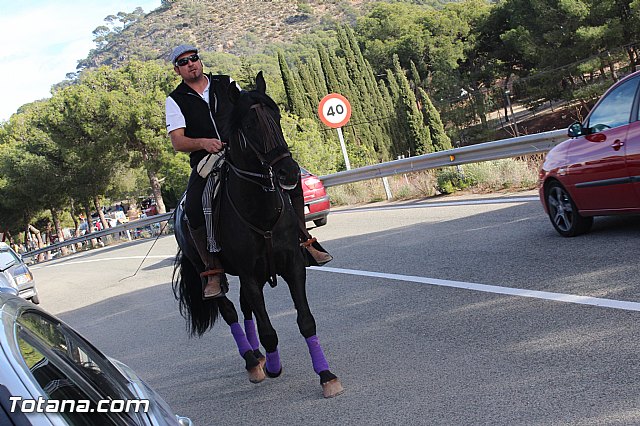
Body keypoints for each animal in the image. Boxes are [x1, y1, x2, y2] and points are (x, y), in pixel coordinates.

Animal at [172, 71, 342, 398]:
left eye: (277, 116)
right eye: (250, 125)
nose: (289, 172)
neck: (259, 210)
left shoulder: (291, 265)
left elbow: (306, 321)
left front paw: (326, 375)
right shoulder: (250, 275)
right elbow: (268, 332)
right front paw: (274, 367)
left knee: (244, 308)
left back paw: (259, 358)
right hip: (209, 270)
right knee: (229, 310)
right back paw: (253, 361)